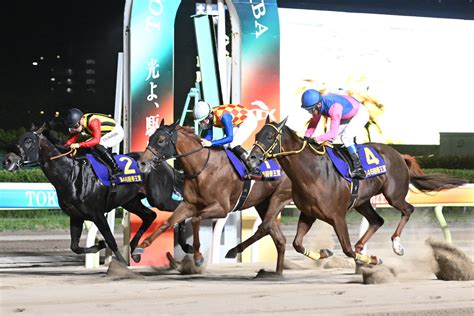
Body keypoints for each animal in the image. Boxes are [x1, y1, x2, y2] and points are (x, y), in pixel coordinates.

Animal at [2, 124, 184, 262]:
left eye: (28, 140)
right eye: (19, 139)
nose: (8, 161)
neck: (71, 175)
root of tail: (163, 164)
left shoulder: (97, 214)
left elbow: (111, 240)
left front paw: (120, 263)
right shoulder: (76, 216)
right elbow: (75, 247)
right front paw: (100, 246)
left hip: (160, 198)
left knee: (178, 206)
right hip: (131, 201)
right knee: (150, 215)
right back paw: (135, 250)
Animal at [133, 122, 294, 276]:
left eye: (161, 140)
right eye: (150, 138)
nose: (142, 163)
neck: (202, 168)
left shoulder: (221, 208)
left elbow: (196, 219)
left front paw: (198, 257)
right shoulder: (188, 204)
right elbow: (167, 223)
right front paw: (139, 249)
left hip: (279, 197)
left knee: (266, 228)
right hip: (263, 204)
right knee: (278, 238)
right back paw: (277, 272)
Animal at [246, 117, 468, 266]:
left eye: (270, 136)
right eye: (257, 135)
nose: (251, 159)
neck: (312, 172)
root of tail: (399, 154)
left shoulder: (338, 216)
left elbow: (347, 249)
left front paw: (373, 259)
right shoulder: (309, 213)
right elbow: (298, 244)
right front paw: (325, 253)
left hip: (394, 195)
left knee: (408, 210)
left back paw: (396, 245)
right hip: (362, 202)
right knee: (377, 220)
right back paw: (362, 246)